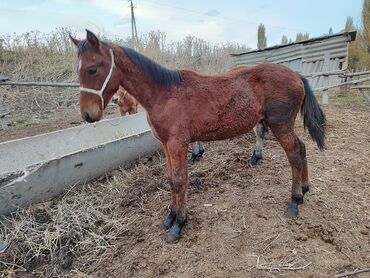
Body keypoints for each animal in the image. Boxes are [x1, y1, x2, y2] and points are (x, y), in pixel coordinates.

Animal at [71, 31, 326, 243]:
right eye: (79, 70)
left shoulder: (177, 144)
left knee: (295, 153)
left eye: (93, 69)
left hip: (280, 125)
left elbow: (178, 180)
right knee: (302, 148)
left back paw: (294, 201)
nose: (88, 115)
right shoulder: (166, 145)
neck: (164, 93)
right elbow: (170, 179)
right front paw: (170, 217)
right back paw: (304, 190)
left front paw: (179, 225)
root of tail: (297, 75)